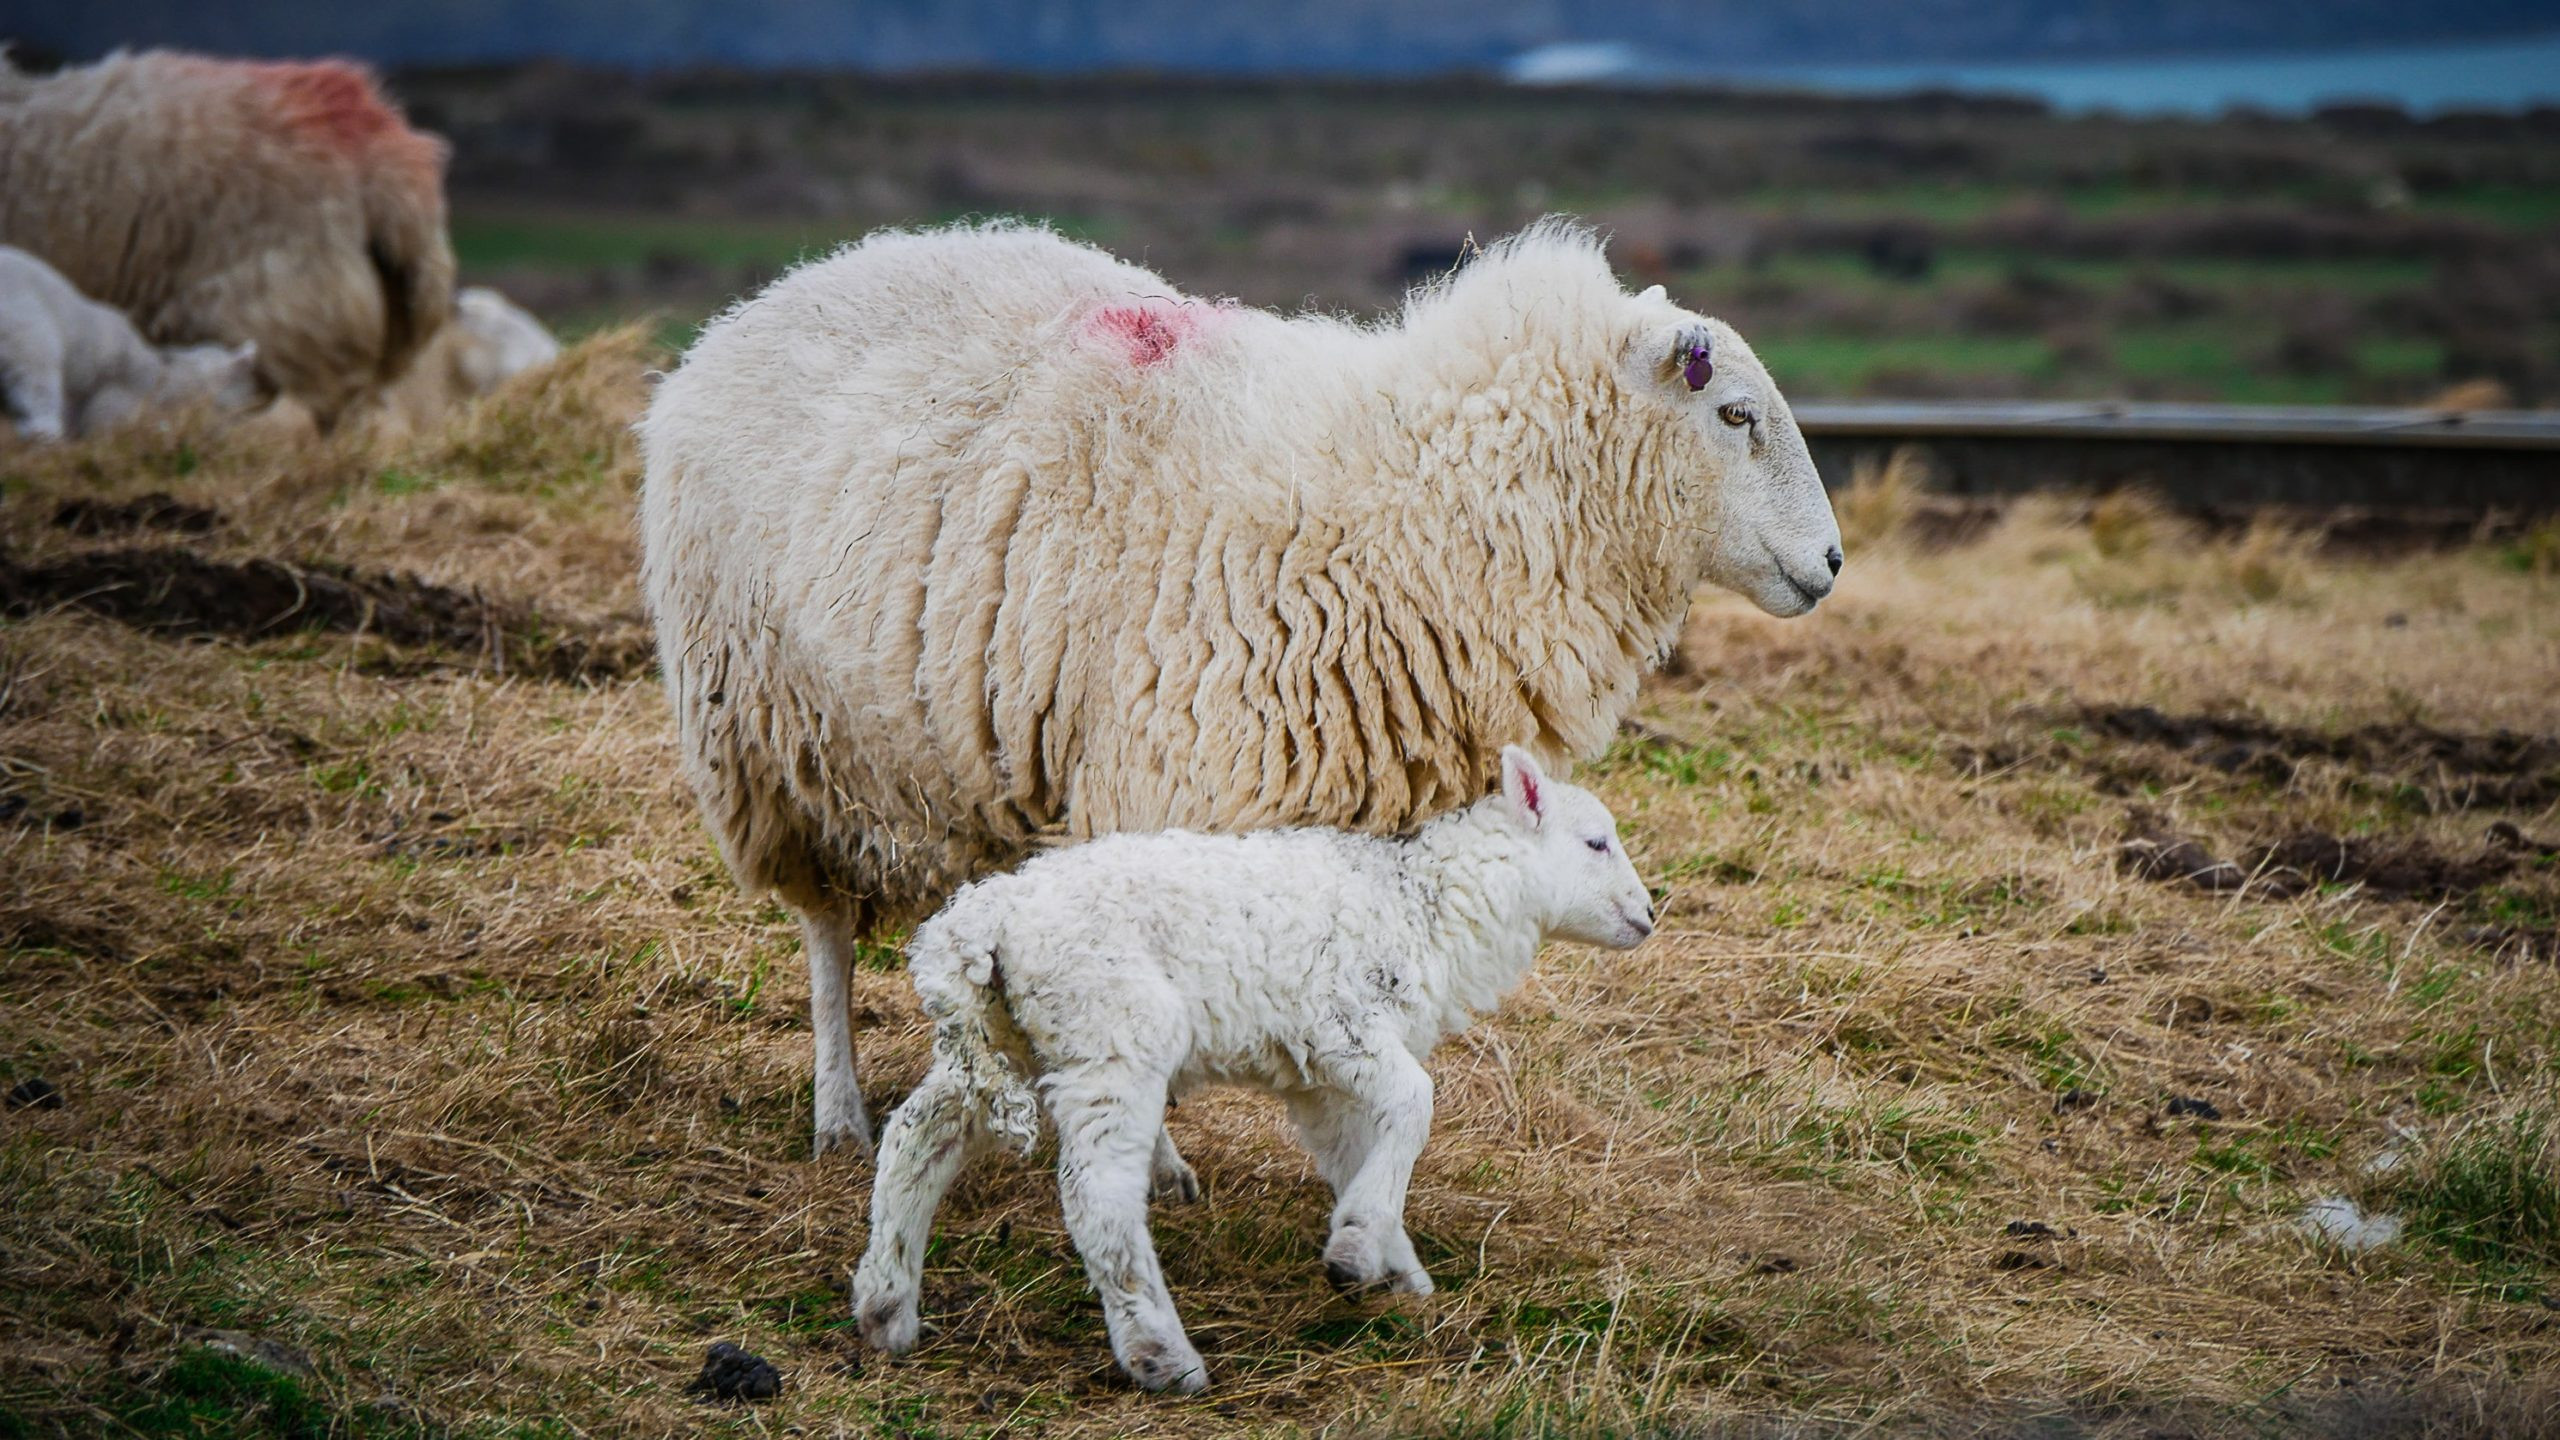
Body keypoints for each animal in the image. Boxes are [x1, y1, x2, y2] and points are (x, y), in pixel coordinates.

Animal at [639, 218, 1841, 1157]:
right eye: (1735, 413)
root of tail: (761, 304)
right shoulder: (1170, 788)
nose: (1830, 564)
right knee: (828, 937)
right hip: (772, 739)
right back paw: (838, 1112)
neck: (1415, 503)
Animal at [851, 745, 1652, 1393]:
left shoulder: (1319, 1078)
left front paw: (1389, 1263)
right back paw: (1162, 1357)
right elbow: (1416, 1103)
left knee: (918, 1136)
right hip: (1111, 1030)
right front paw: (1358, 1246)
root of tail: (977, 920)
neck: (1426, 904)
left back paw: (886, 1305)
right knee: (1098, 1197)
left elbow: (1354, 1151)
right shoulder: (1339, 1023)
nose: (1649, 915)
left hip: (1001, 1034)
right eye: (1595, 842)